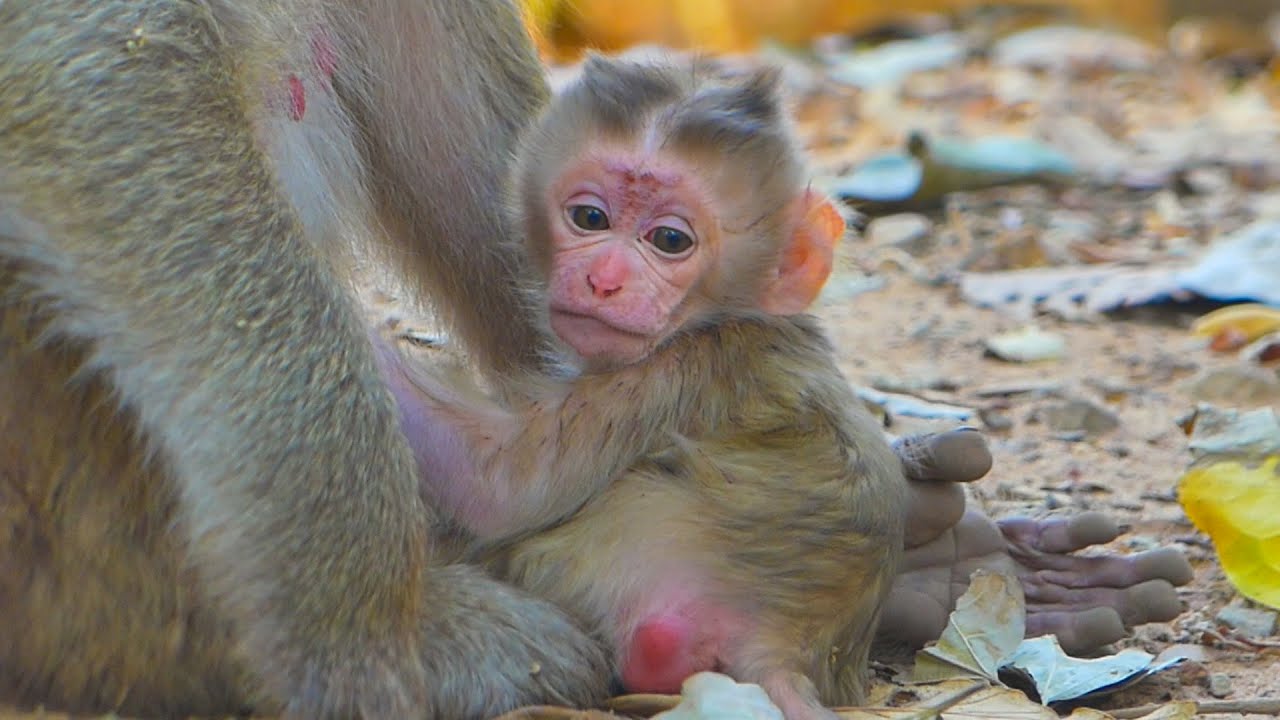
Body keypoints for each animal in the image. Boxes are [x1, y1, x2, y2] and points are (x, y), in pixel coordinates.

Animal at [393, 55, 908, 720]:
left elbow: (498, 485)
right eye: (590, 218)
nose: (604, 279)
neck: (726, 316)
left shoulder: (679, 372)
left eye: (670, 240)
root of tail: (783, 645)